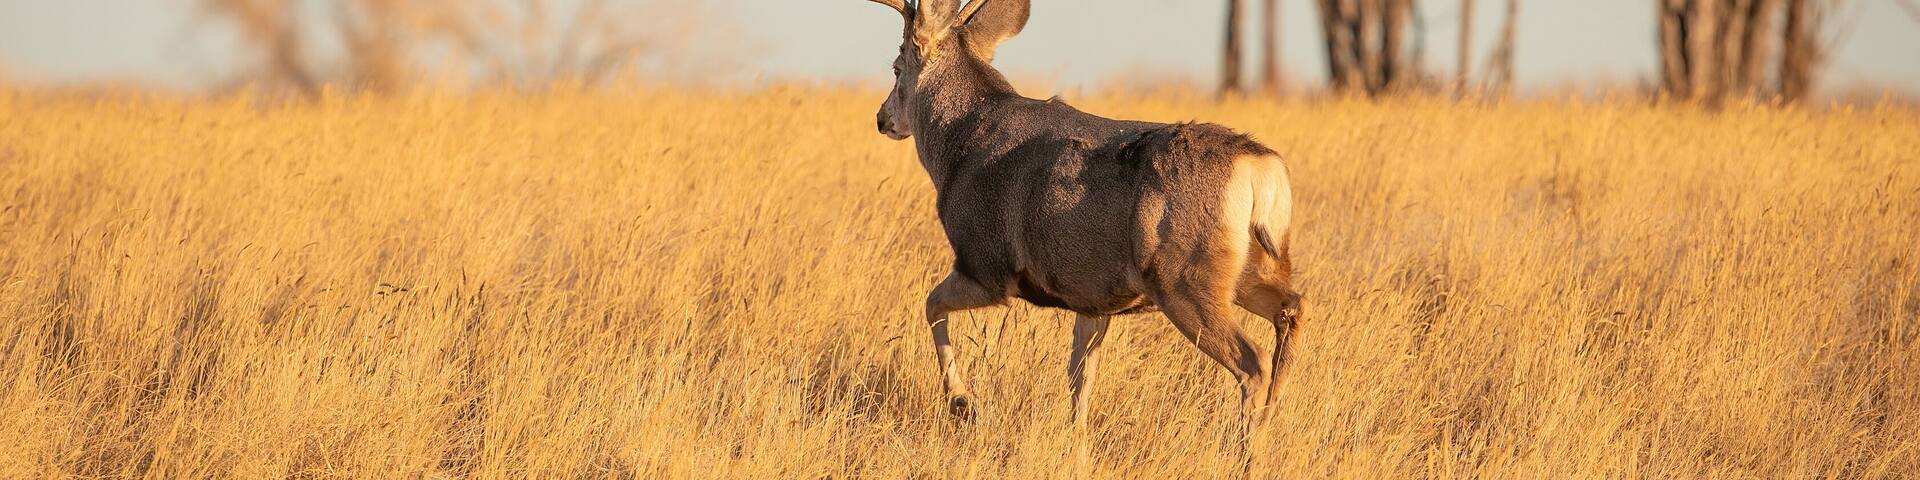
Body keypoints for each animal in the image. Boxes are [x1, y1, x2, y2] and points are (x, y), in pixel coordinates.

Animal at [860, 0, 1304, 466]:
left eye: (896, 67)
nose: (882, 118)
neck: (958, 146)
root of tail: (1261, 169)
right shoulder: (1092, 298)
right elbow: (1080, 380)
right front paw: (1078, 452)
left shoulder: (987, 265)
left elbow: (931, 305)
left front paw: (963, 403)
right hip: (1249, 270)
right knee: (1292, 310)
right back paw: (1271, 423)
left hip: (1184, 279)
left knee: (1252, 361)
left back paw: (1248, 457)